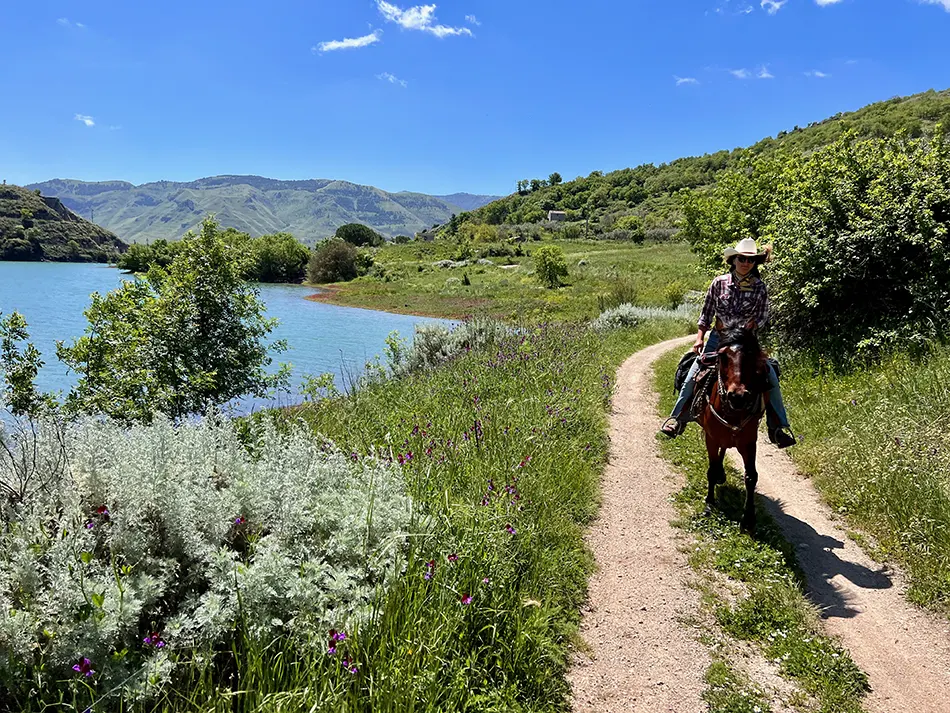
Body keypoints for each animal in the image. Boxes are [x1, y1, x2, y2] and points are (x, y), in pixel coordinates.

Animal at [700, 326, 772, 532]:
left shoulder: (749, 442)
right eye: (722, 356)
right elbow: (711, 469)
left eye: (750, 354)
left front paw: (749, 518)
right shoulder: (711, 438)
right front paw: (709, 503)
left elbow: (751, 477)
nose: (738, 396)